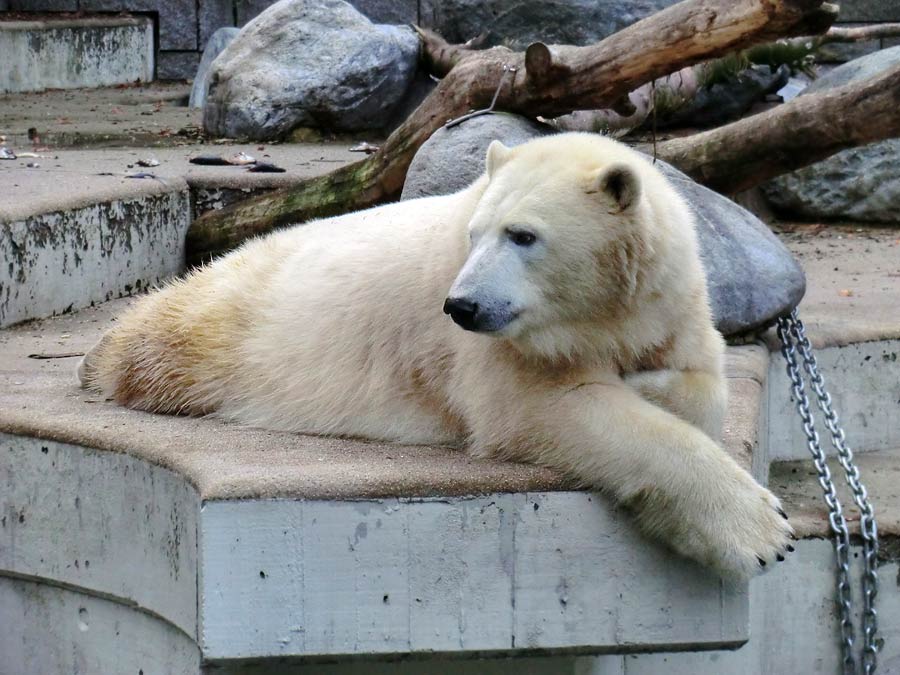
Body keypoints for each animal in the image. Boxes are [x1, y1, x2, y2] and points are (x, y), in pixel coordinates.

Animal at [81, 133, 792, 580]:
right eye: (476, 234)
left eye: (523, 235)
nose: (462, 306)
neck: (595, 314)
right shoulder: (485, 352)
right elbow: (543, 408)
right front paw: (761, 532)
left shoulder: (671, 298)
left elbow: (705, 382)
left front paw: (647, 382)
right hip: (232, 319)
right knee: (165, 341)